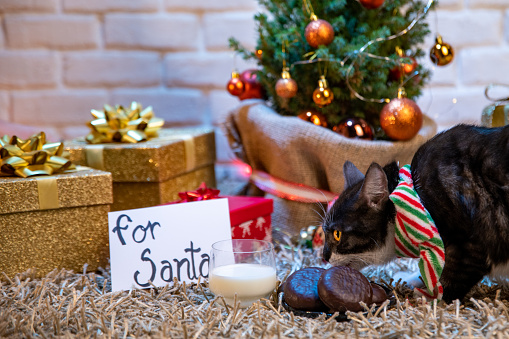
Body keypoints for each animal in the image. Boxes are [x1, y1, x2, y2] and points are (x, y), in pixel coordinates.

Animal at [322, 125, 508, 302]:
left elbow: (453, 277)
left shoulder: (471, 245)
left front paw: (427, 296)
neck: (417, 196)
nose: (324, 256)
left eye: (337, 234)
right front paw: (416, 279)